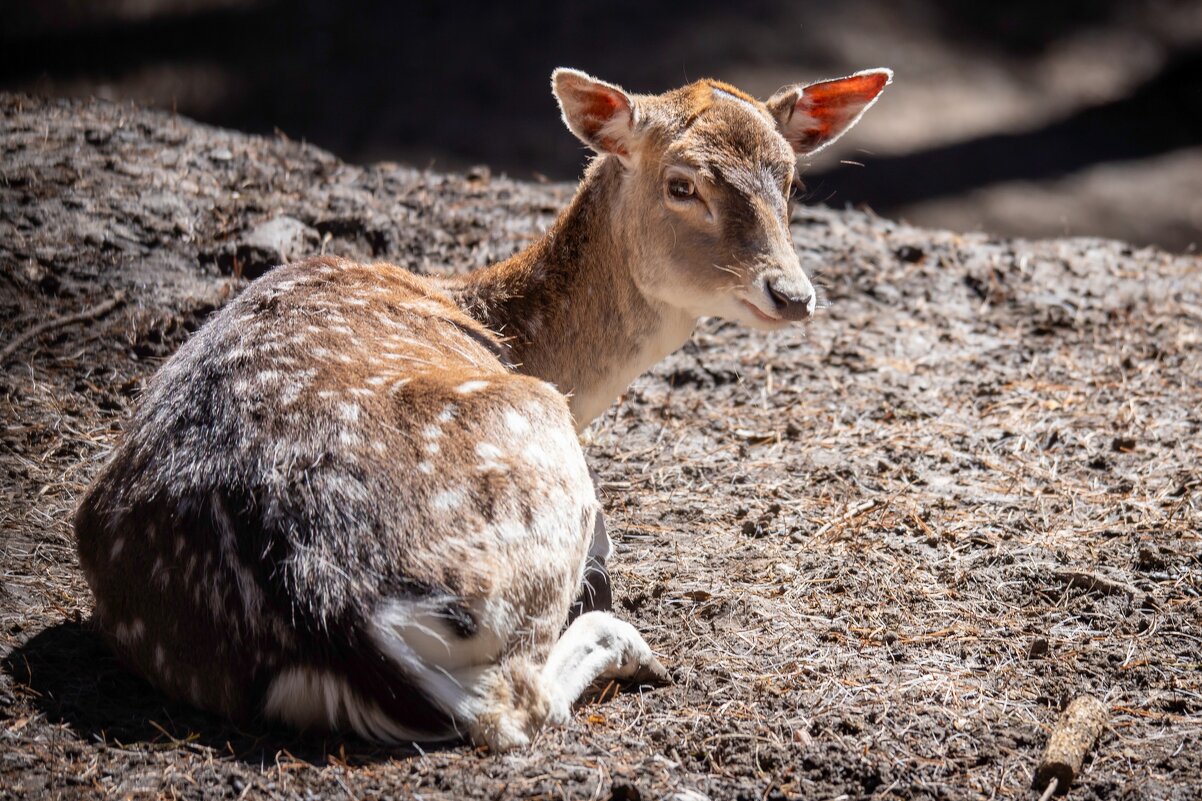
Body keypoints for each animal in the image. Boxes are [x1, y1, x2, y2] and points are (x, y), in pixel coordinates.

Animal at [72, 64, 884, 750]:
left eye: (791, 182)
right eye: (682, 184)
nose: (792, 293)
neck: (503, 328)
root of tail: (324, 597)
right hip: (535, 454)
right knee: (517, 705)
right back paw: (631, 645)